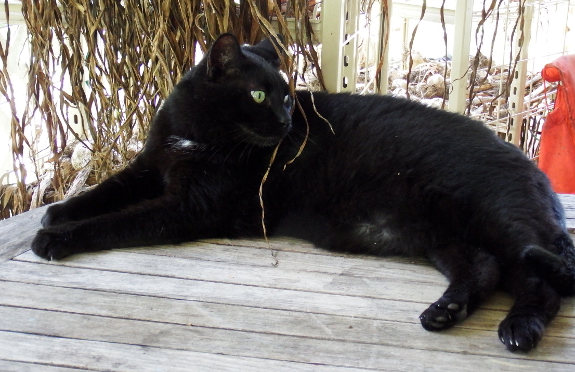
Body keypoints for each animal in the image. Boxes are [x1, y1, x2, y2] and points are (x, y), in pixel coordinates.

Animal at [32, 33, 575, 350]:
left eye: (288, 96)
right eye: (258, 94)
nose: (284, 120)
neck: (195, 132)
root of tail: (535, 173)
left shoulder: (188, 205)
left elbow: (121, 220)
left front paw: (56, 239)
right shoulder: (148, 168)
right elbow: (103, 193)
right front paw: (58, 213)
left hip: (496, 220)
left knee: (541, 283)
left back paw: (518, 330)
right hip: (439, 234)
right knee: (483, 267)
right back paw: (445, 313)